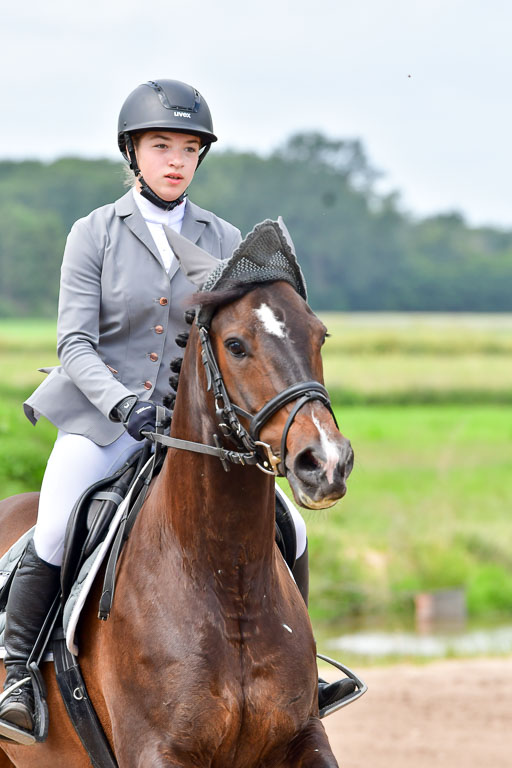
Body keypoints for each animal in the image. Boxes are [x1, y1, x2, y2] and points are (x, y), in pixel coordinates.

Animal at [0, 220, 354, 767]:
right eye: (236, 345)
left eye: (319, 336)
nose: (327, 462)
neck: (225, 576)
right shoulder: (157, 749)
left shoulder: (303, 737)